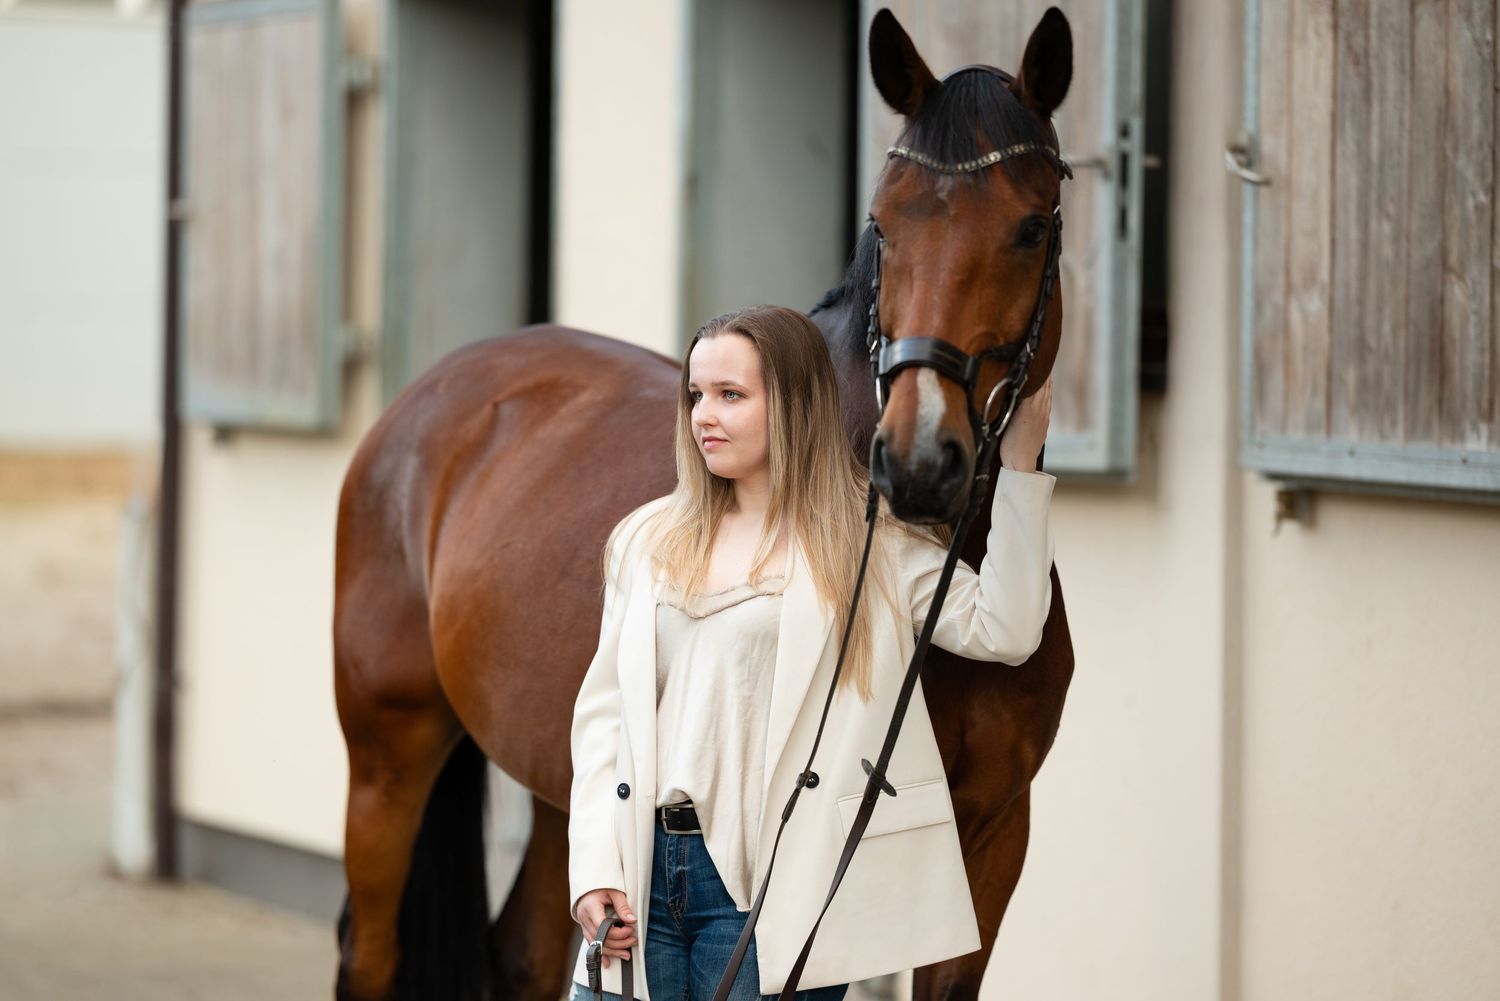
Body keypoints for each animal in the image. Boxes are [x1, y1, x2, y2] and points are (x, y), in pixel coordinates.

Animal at [333, 8, 1075, 1001]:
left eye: (1031, 227)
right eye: (883, 224)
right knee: (371, 952)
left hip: (566, 782)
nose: (920, 461)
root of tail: (422, 406)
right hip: (388, 753)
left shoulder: (991, 836)